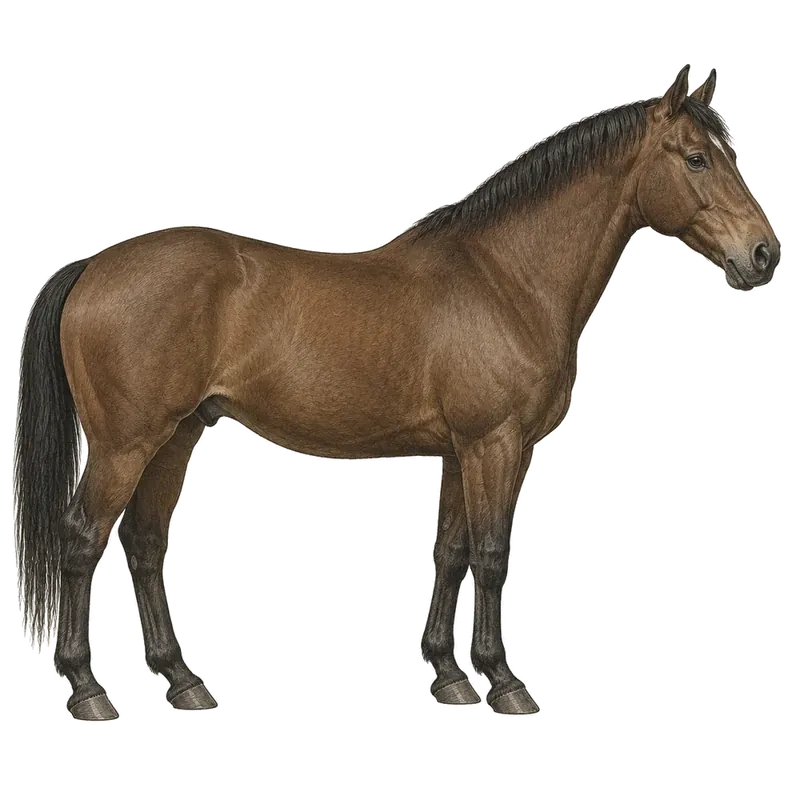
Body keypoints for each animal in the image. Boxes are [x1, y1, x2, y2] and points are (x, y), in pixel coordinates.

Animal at [13, 64, 780, 720]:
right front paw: (504, 682)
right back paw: (88, 690)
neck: (505, 279)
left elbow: (453, 551)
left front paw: (448, 675)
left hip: (175, 436)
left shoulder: (461, 450)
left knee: (142, 544)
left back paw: (183, 682)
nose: (763, 255)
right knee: (83, 539)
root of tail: (91, 268)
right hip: (126, 444)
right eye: (696, 158)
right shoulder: (496, 444)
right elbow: (491, 553)